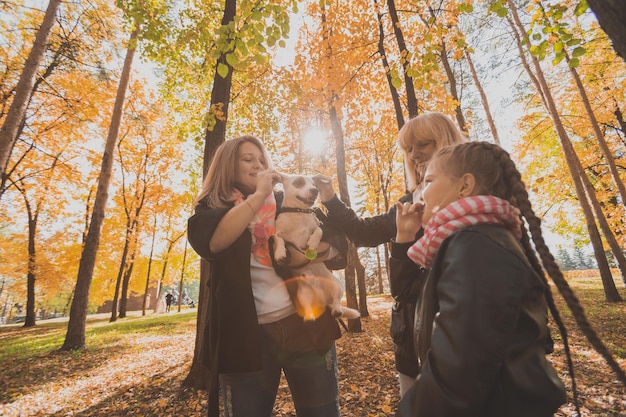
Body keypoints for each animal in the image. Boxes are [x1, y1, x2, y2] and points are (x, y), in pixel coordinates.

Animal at [274, 173, 360, 322]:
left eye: (314, 185)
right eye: (299, 182)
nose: (315, 191)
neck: (299, 213)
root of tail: (323, 301)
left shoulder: (318, 225)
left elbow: (318, 231)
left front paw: (312, 244)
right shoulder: (277, 232)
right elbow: (279, 239)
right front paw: (280, 254)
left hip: (337, 286)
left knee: (336, 301)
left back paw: (337, 310)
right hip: (303, 294)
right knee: (308, 307)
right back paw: (309, 316)